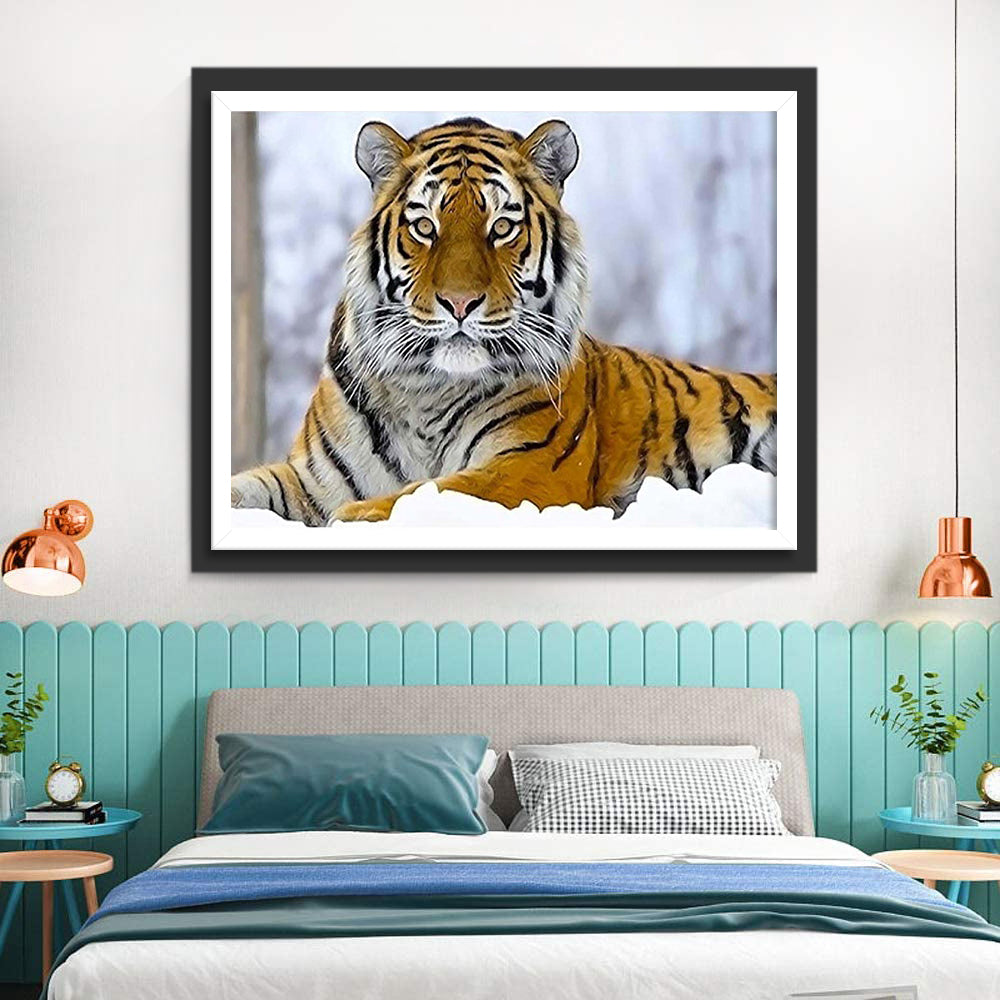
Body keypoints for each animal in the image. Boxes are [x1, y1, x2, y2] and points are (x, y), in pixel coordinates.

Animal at [230, 117, 777, 525]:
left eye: (502, 227)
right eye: (424, 226)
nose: (459, 303)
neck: (425, 389)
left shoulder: (528, 467)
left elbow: (425, 493)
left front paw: (353, 519)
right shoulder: (312, 479)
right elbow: (246, 488)